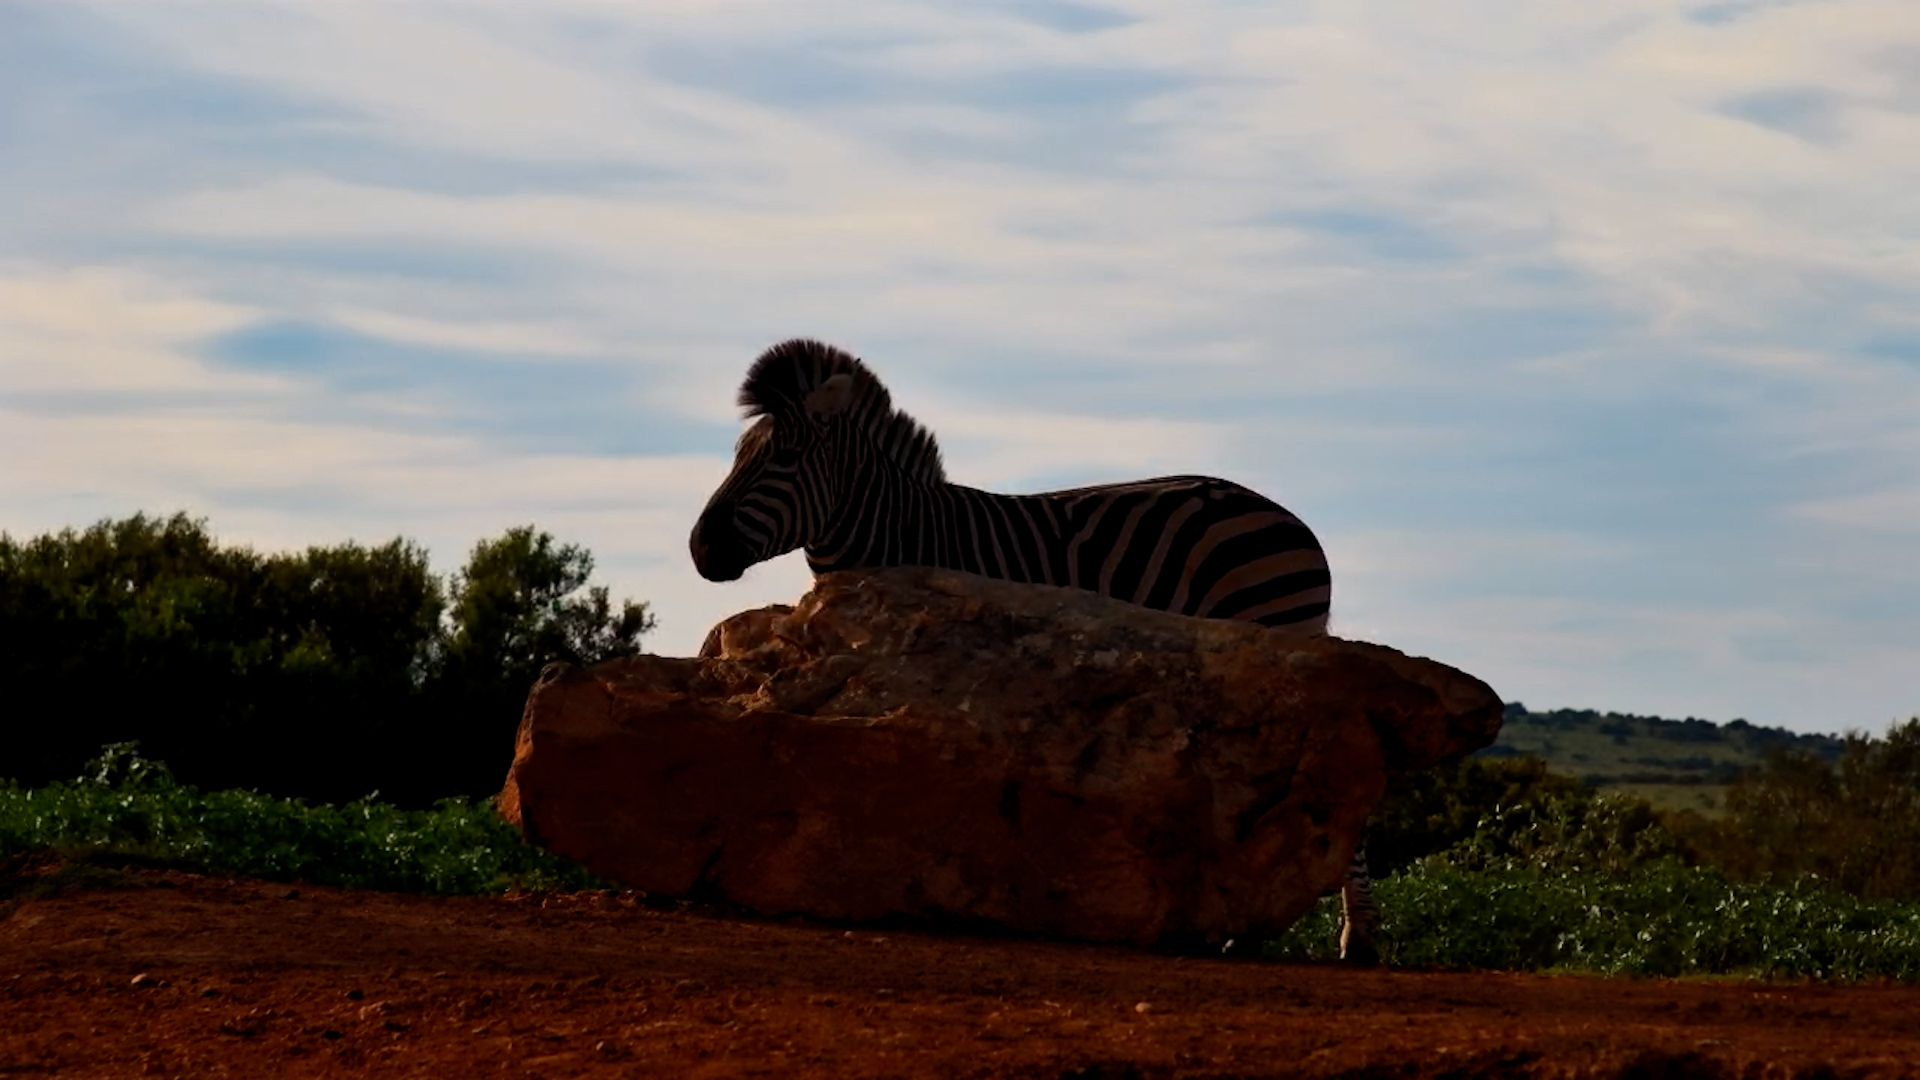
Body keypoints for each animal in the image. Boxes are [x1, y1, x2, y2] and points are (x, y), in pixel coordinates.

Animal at [689, 338, 1378, 965]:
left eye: (786, 457)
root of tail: (1292, 521)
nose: (700, 549)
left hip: (1277, 629)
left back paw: (1355, 942)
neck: (896, 532)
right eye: (737, 455)